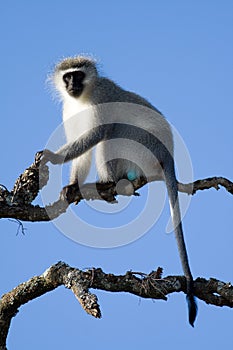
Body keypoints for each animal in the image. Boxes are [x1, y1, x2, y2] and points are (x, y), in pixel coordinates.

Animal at [41, 54, 197, 326]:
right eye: (67, 76)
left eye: (78, 75)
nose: (72, 85)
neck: (82, 98)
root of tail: (168, 155)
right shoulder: (68, 110)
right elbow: (83, 150)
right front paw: (71, 186)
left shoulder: (102, 98)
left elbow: (95, 134)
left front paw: (53, 156)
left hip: (144, 145)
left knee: (112, 133)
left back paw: (107, 184)